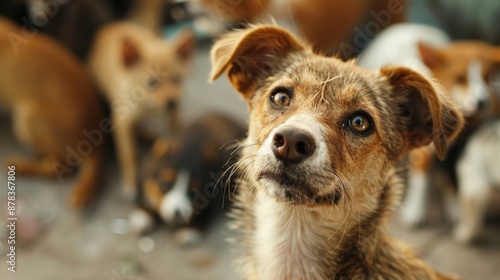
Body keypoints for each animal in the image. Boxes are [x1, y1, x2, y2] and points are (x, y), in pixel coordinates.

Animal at [87, 21, 193, 198]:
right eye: (151, 83)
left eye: (178, 80)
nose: (173, 102)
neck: (148, 107)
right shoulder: (122, 125)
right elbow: (129, 155)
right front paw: (130, 183)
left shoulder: (174, 116)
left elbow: (177, 136)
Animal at [358, 23, 500, 228]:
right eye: (460, 78)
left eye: (488, 77)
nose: (482, 102)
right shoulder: (424, 150)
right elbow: (422, 178)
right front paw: (415, 212)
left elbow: (448, 177)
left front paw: (454, 209)